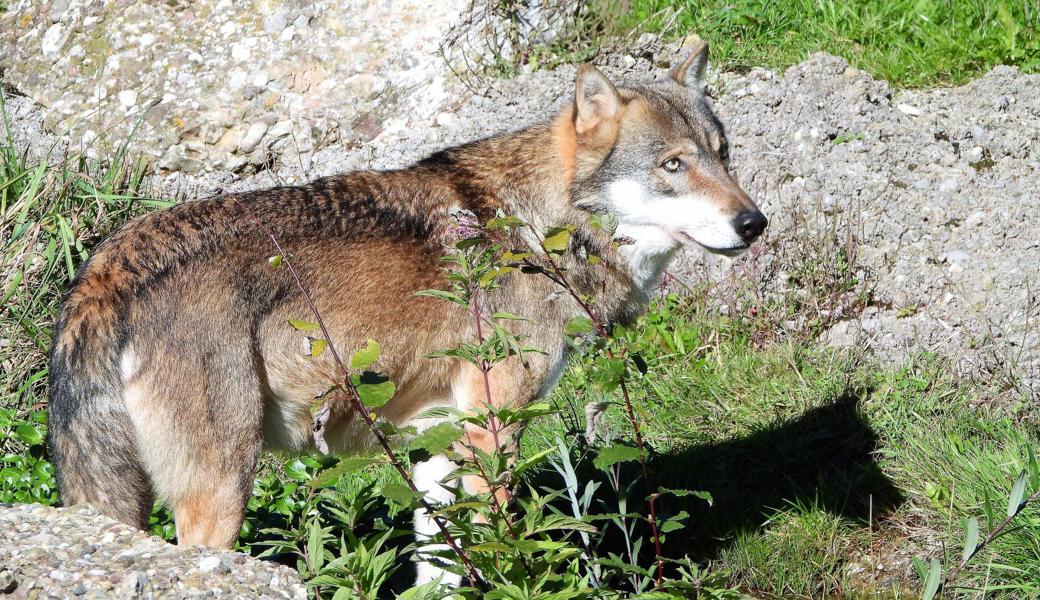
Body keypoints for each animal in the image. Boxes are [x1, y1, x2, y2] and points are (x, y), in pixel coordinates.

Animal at [46, 43, 765, 586]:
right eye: (673, 165)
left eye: (724, 153)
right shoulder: (492, 430)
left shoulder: (439, 439)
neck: (539, 227)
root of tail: (108, 273)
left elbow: (444, 566)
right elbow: (499, 548)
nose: (754, 223)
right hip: (220, 495)